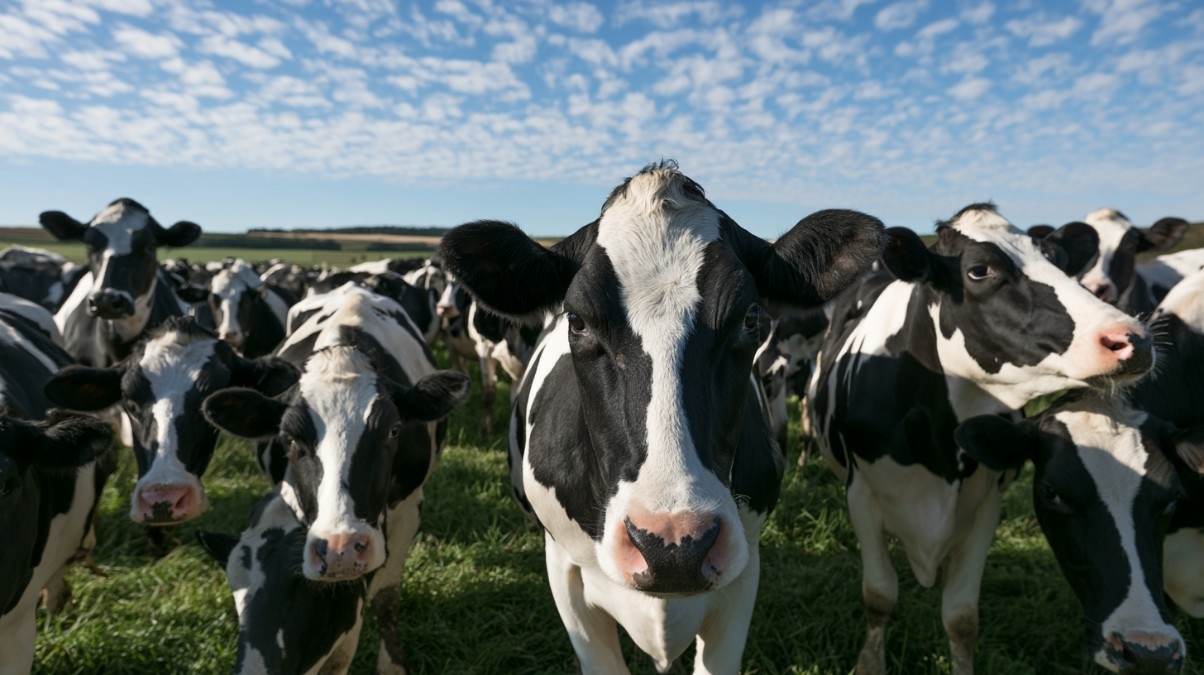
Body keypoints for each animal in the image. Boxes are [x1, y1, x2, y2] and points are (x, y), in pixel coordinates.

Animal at [807, 204, 1154, 675]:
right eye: (979, 270)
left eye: (1058, 260)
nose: (1133, 338)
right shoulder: (861, 494)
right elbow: (879, 594)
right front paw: (869, 664)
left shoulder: (987, 504)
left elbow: (961, 617)